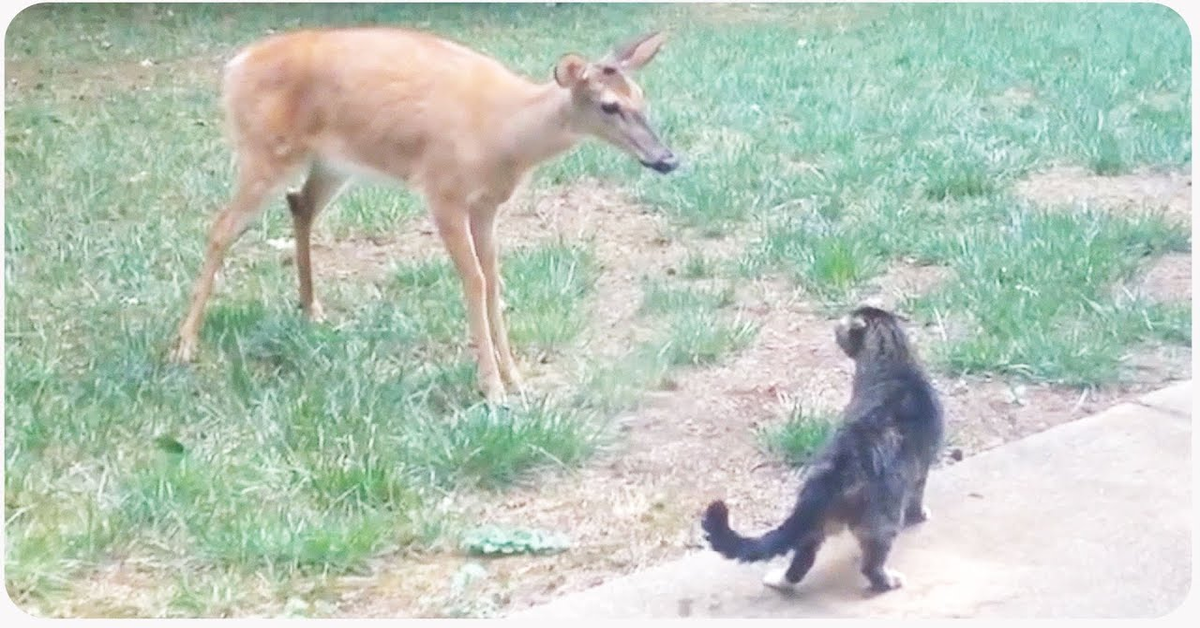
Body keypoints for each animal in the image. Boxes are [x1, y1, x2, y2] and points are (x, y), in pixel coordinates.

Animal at [169, 27, 681, 403]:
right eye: (609, 105)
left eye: (642, 97)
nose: (667, 159)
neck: (503, 135)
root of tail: (235, 67)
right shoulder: (443, 190)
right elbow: (474, 280)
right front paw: (492, 388)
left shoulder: (487, 204)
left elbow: (494, 281)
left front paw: (516, 378)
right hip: (264, 150)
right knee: (220, 228)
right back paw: (184, 346)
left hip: (332, 163)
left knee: (300, 204)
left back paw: (312, 309)